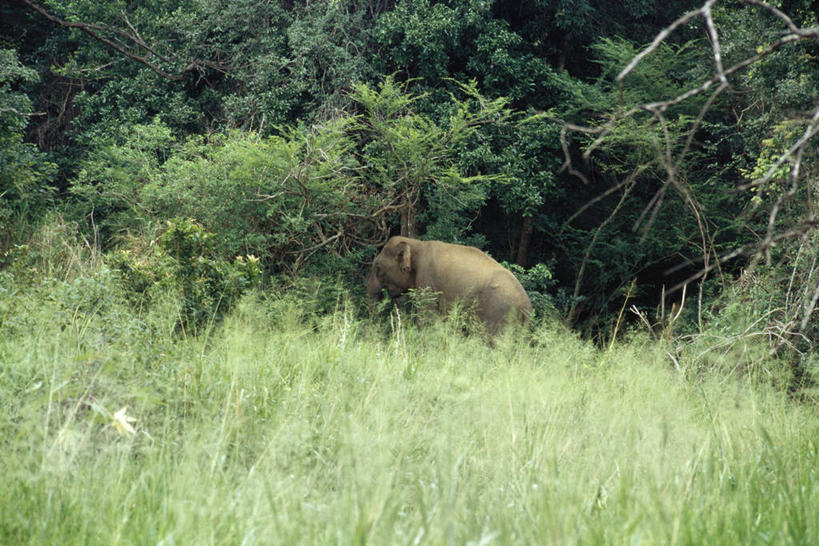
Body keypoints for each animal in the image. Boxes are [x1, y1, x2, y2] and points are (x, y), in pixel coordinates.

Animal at [366, 236, 532, 334]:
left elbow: (427, 317)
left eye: (378, 268)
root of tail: (526, 305)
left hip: (499, 313)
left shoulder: (427, 280)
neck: (417, 243)